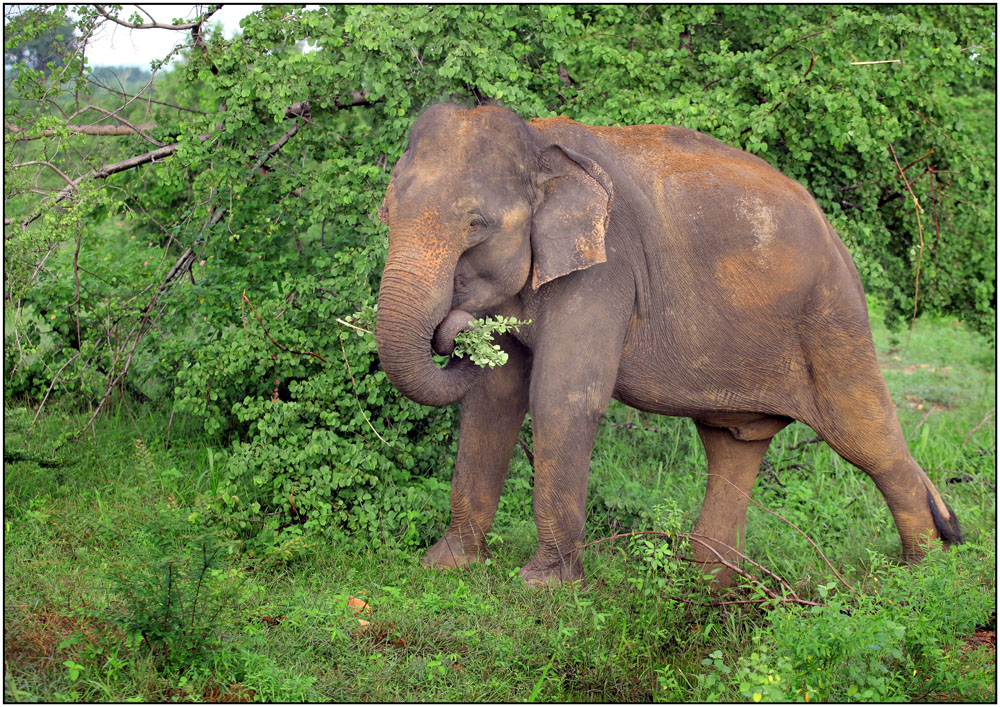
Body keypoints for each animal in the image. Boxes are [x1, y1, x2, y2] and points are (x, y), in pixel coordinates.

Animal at [376, 101, 960, 588]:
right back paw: (708, 584)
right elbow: (492, 399)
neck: (539, 142)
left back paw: (919, 582)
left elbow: (564, 396)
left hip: (833, 320)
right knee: (733, 446)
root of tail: (836, 237)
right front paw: (446, 565)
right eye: (386, 213)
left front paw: (542, 587)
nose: (455, 326)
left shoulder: (607, 269)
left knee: (868, 437)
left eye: (476, 224)